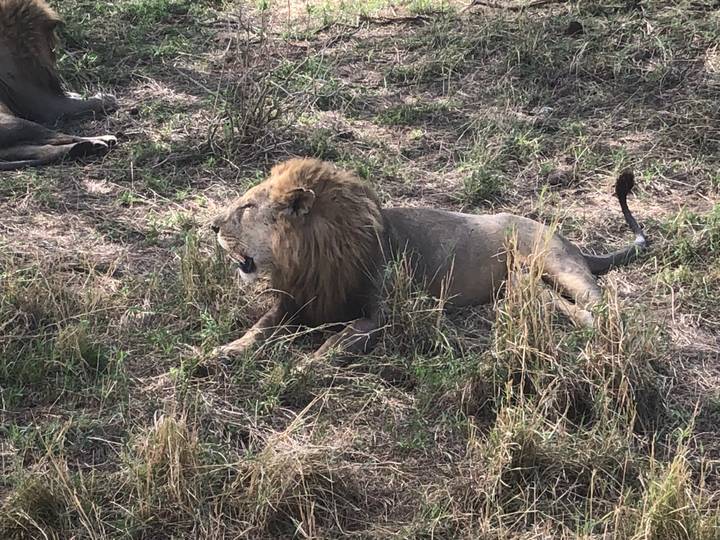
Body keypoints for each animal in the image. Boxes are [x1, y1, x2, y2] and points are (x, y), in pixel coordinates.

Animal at [0, 0, 117, 170]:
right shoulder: (44, 104)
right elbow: (81, 104)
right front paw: (106, 99)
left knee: (44, 150)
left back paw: (89, 147)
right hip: (16, 123)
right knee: (59, 137)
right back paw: (102, 140)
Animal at [210, 158, 648, 359]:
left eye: (246, 207)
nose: (212, 225)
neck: (307, 258)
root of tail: (566, 238)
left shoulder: (380, 314)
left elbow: (340, 338)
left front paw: (308, 362)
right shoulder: (296, 303)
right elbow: (259, 328)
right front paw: (227, 350)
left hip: (559, 265)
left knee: (607, 305)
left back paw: (607, 334)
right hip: (525, 287)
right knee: (565, 307)